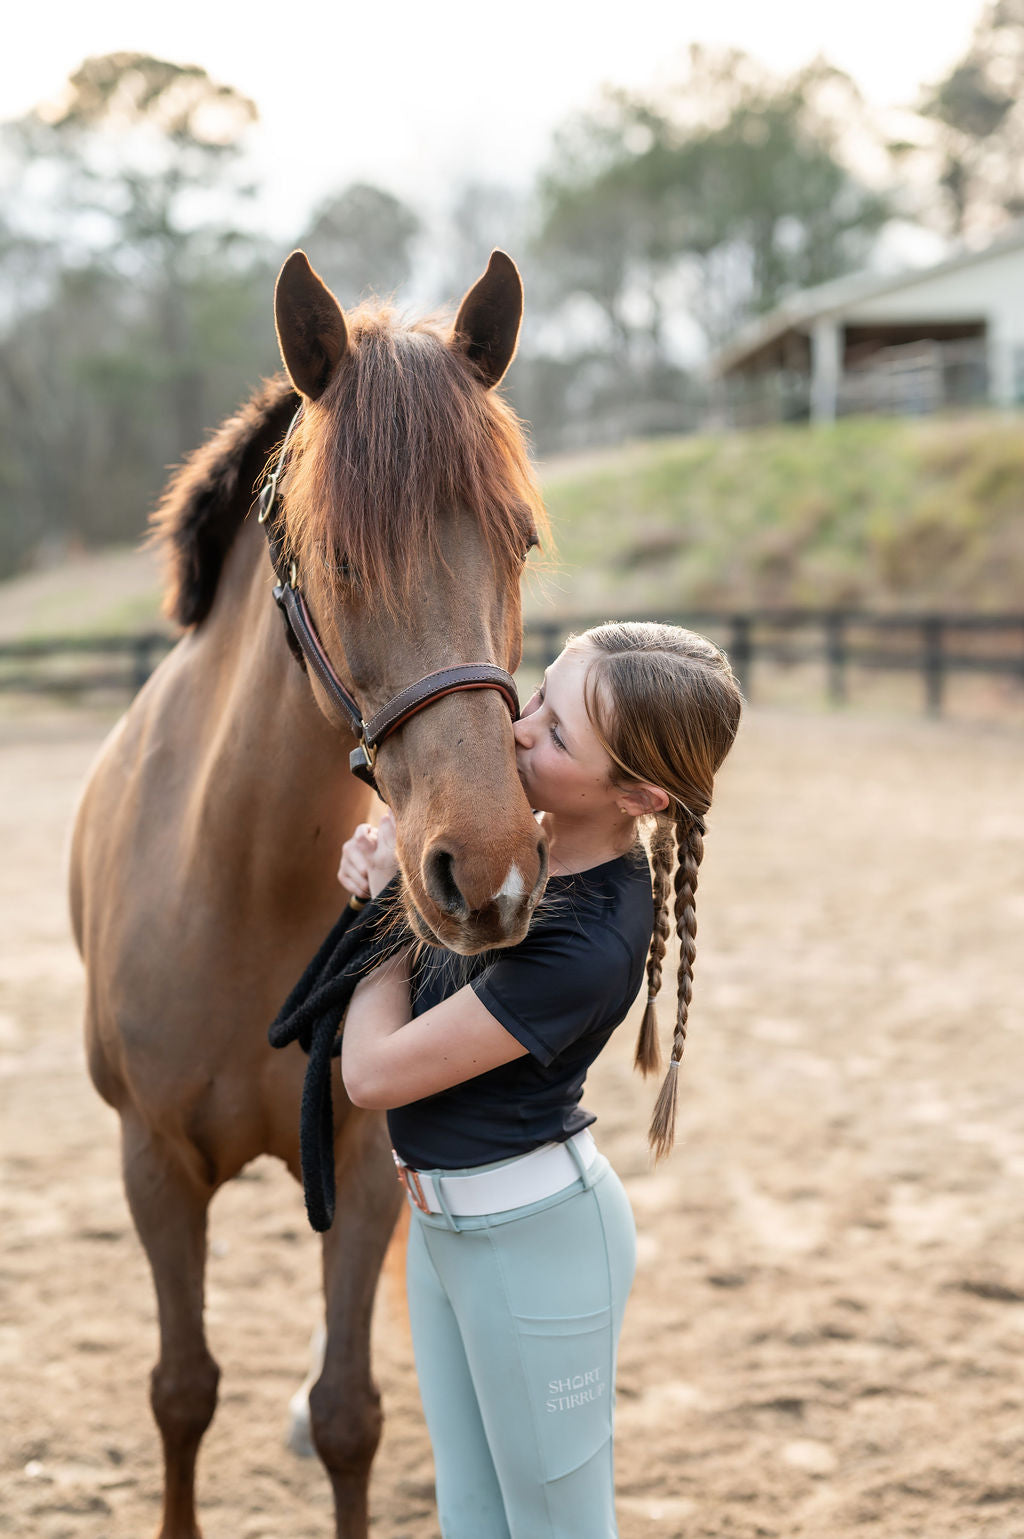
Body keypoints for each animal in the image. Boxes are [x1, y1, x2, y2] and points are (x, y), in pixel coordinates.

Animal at [68, 248, 549, 1539]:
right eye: (338, 556)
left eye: (520, 543)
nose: (488, 873)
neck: (239, 880)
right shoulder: (151, 1166)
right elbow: (181, 1389)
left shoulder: (369, 1155)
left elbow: (348, 1413)